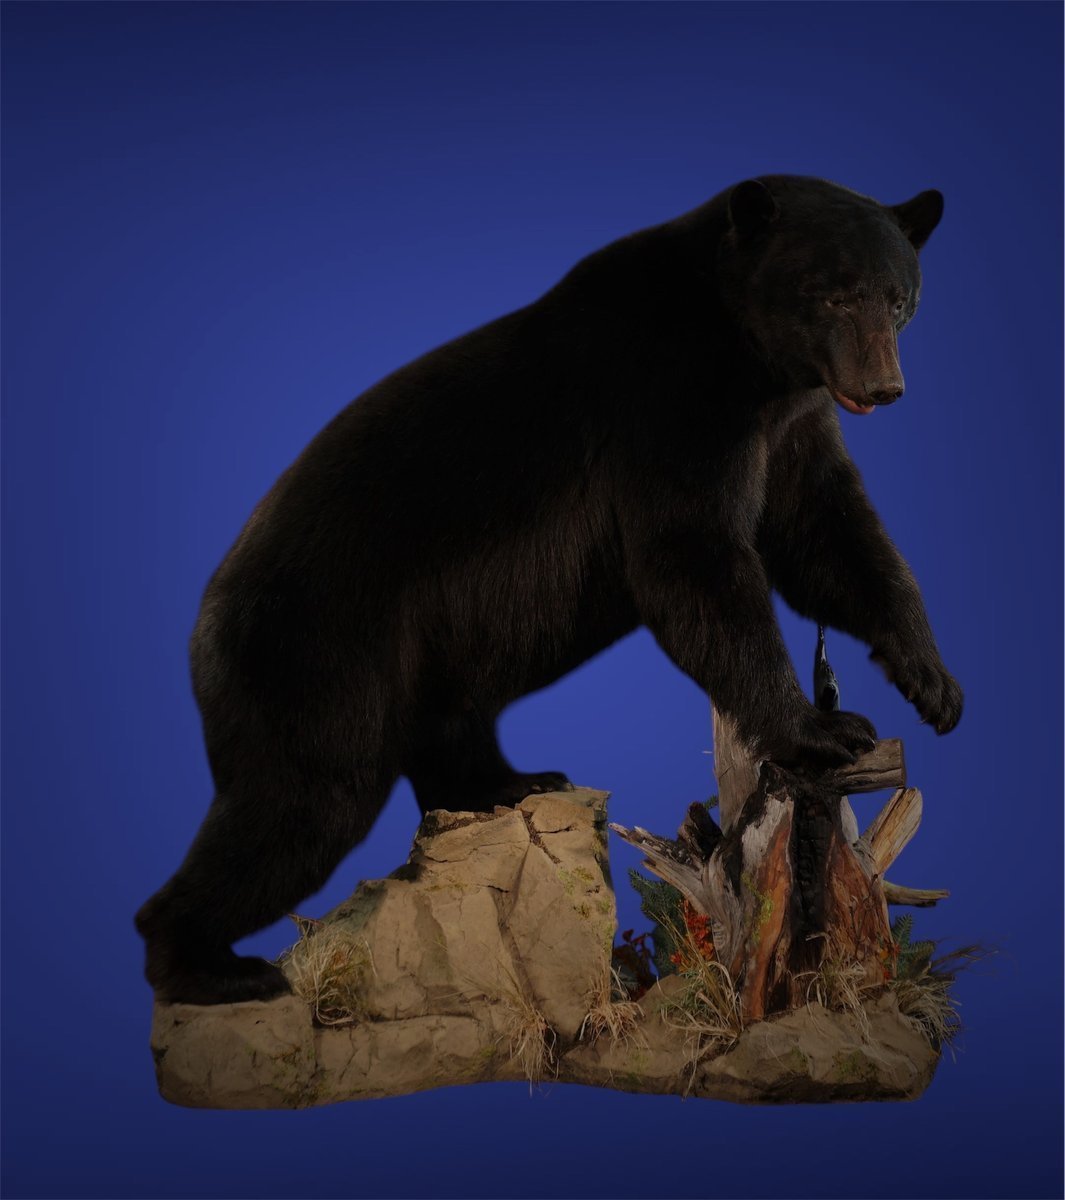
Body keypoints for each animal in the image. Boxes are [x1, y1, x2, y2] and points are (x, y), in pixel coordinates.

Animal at [135, 175, 963, 1006]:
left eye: (897, 297)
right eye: (832, 295)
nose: (882, 386)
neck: (742, 350)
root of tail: (199, 629)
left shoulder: (789, 423)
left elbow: (830, 534)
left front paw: (931, 683)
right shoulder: (667, 400)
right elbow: (689, 558)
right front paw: (821, 729)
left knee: (436, 736)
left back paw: (512, 782)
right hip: (317, 652)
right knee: (301, 799)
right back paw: (211, 966)